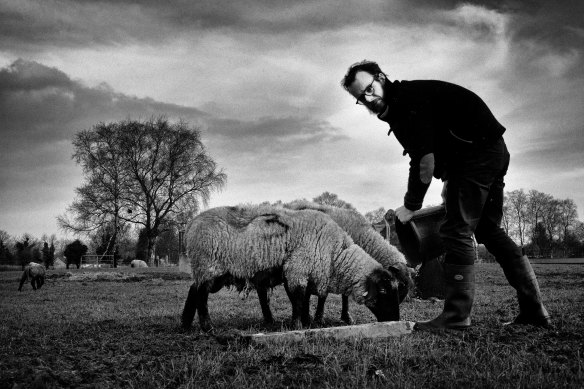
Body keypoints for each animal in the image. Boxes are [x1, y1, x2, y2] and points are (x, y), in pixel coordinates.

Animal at [182, 205, 402, 332]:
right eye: (383, 291)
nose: (396, 320)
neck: (335, 254)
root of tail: (191, 223)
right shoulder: (297, 269)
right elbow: (297, 300)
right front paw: (297, 326)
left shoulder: (305, 273)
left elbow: (303, 301)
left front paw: (306, 322)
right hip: (208, 265)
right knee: (201, 294)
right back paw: (207, 327)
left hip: (212, 271)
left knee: (194, 289)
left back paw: (185, 323)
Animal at [284, 200, 416, 324]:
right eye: (400, 285)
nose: (394, 319)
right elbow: (323, 295)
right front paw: (319, 318)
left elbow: (345, 296)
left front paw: (346, 317)